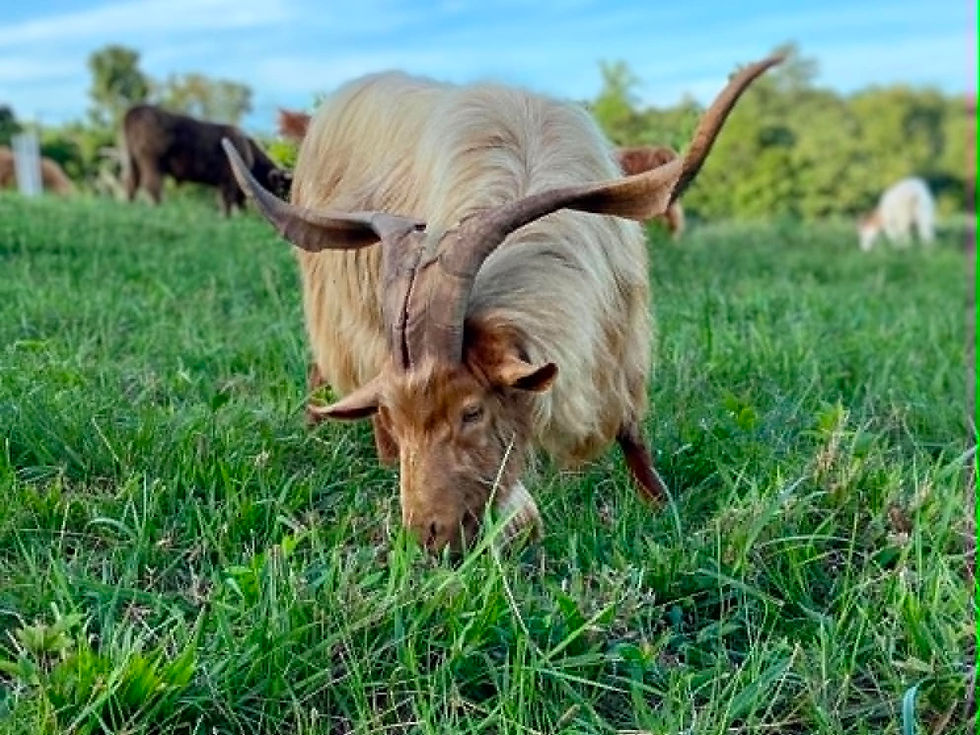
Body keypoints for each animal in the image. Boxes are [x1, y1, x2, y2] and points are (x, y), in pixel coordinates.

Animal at [224, 56, 780, 553]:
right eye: (402, 420)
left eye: (472, 411)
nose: (429, 538)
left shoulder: (619, 344)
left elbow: (633, 435)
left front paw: (662, 508)